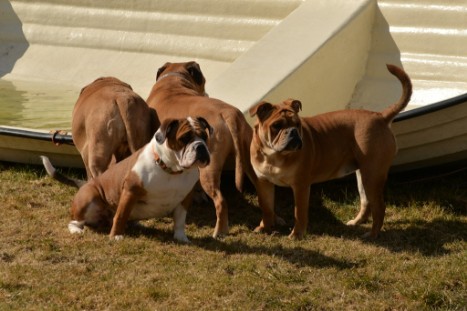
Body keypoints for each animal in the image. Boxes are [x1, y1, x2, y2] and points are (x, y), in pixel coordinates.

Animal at [42, 117, 212, 241]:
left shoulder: (186, 197)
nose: (201, 146)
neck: (172, 170)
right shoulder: (131, 190)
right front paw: (116, 236)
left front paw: (181, 237)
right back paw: (77, 230)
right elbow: (121, 215)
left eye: (205, 136)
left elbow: (180, 219)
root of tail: (86, 184)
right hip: (88, 197)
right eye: (184, 138)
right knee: (75, 221)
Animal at [148, 61, 262, 239]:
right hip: (249, 162)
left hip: (208, 169)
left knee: (221, 201)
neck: (173, 80)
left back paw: (219, 232)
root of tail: (229, 113)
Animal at [250, 64, 412, 240]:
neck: (273, 156)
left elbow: (299, 213)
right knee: (367, 202)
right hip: (363, 175)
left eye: (297, 124)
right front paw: (264, 228)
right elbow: (266, 208)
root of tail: (380, 116)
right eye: (277, 125)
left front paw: (296, 234)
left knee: (379, 208)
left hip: (373, 175)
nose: (293, 132)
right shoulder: (263, 183)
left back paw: (372, 234)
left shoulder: (300, 185)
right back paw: (357, 222)